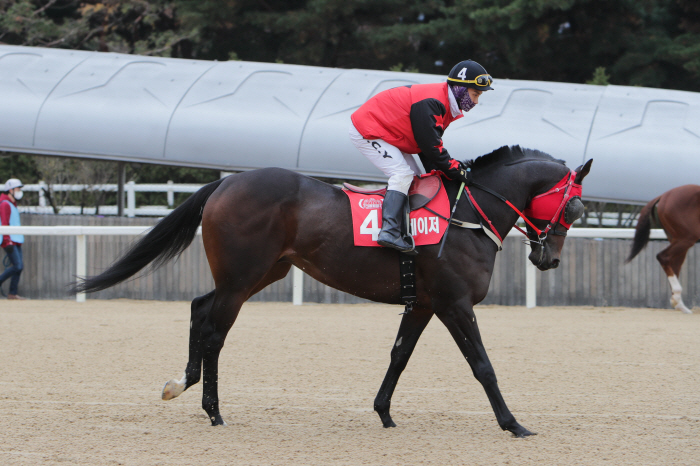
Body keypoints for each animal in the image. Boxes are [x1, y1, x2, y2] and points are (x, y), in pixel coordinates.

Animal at [75, 147, 592, 438]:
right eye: (576, 207)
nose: (548, 259)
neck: (466, 213)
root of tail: (226, 183)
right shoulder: (454, 304)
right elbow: (482, 366)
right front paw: (513, 424)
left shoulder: (424, 304)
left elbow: (399, 355)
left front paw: (384, 413)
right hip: (242, 279)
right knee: (215, 331)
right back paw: (214, 412)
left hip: (262, 273)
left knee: (200, 309)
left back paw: (183, 384)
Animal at [628, 185, 700, 314]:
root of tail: (664, 196)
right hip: (686, 238)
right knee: (663, 257)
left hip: (679, 240)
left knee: (674, 265)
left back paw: (680, 305)